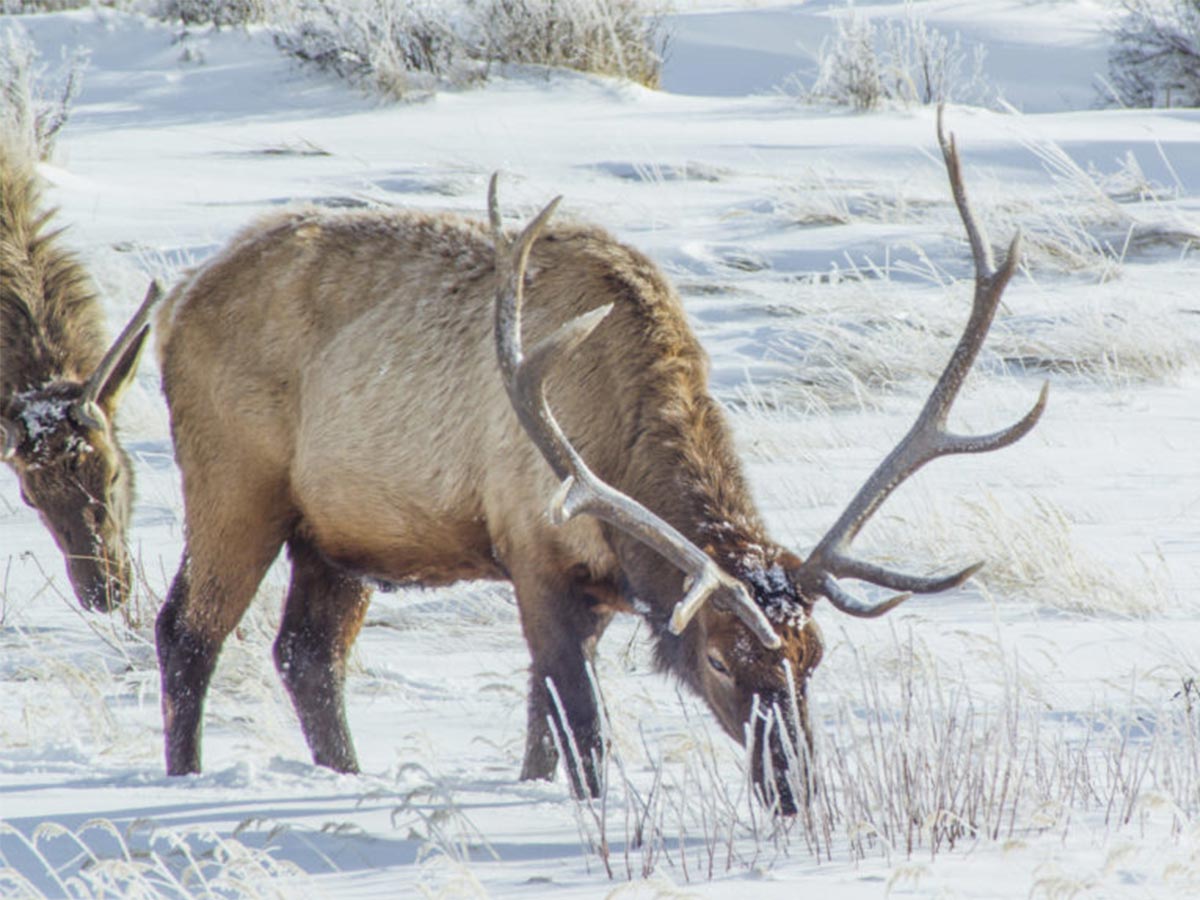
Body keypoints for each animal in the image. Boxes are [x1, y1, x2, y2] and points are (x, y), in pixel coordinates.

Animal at [157, 114, 1041, 816]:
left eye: (812, 658)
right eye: (720, 659)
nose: (793, 791)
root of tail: (179, 300)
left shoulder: (599, 595)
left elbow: (540, 736)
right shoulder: (532, 555)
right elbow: (581, 733)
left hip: (338, 532)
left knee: (308, 654)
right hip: (232, 480)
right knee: (188, 633)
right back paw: (180, 781)